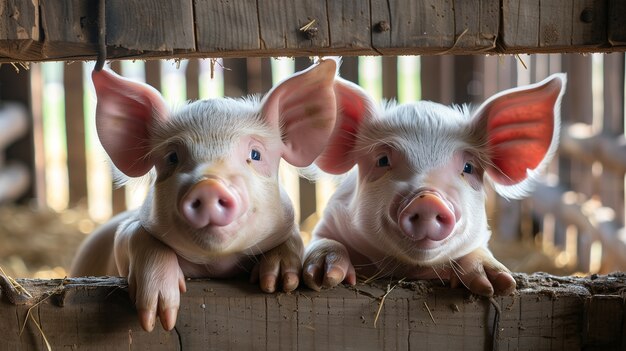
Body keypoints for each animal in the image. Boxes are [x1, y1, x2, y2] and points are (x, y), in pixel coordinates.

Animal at [70, 58, 338, 332]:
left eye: (255, 154)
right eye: (172, 157)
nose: (208, 185)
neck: (216, 267)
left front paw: (280, 282)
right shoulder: (124, 238)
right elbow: (134, 236)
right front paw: (159, 317)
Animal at [302, 73, 564, 296]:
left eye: (468, 167)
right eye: (382, 160)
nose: (427, 198)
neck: (409, 269)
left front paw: (497, 284)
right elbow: (324, 240)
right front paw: (327, 274)